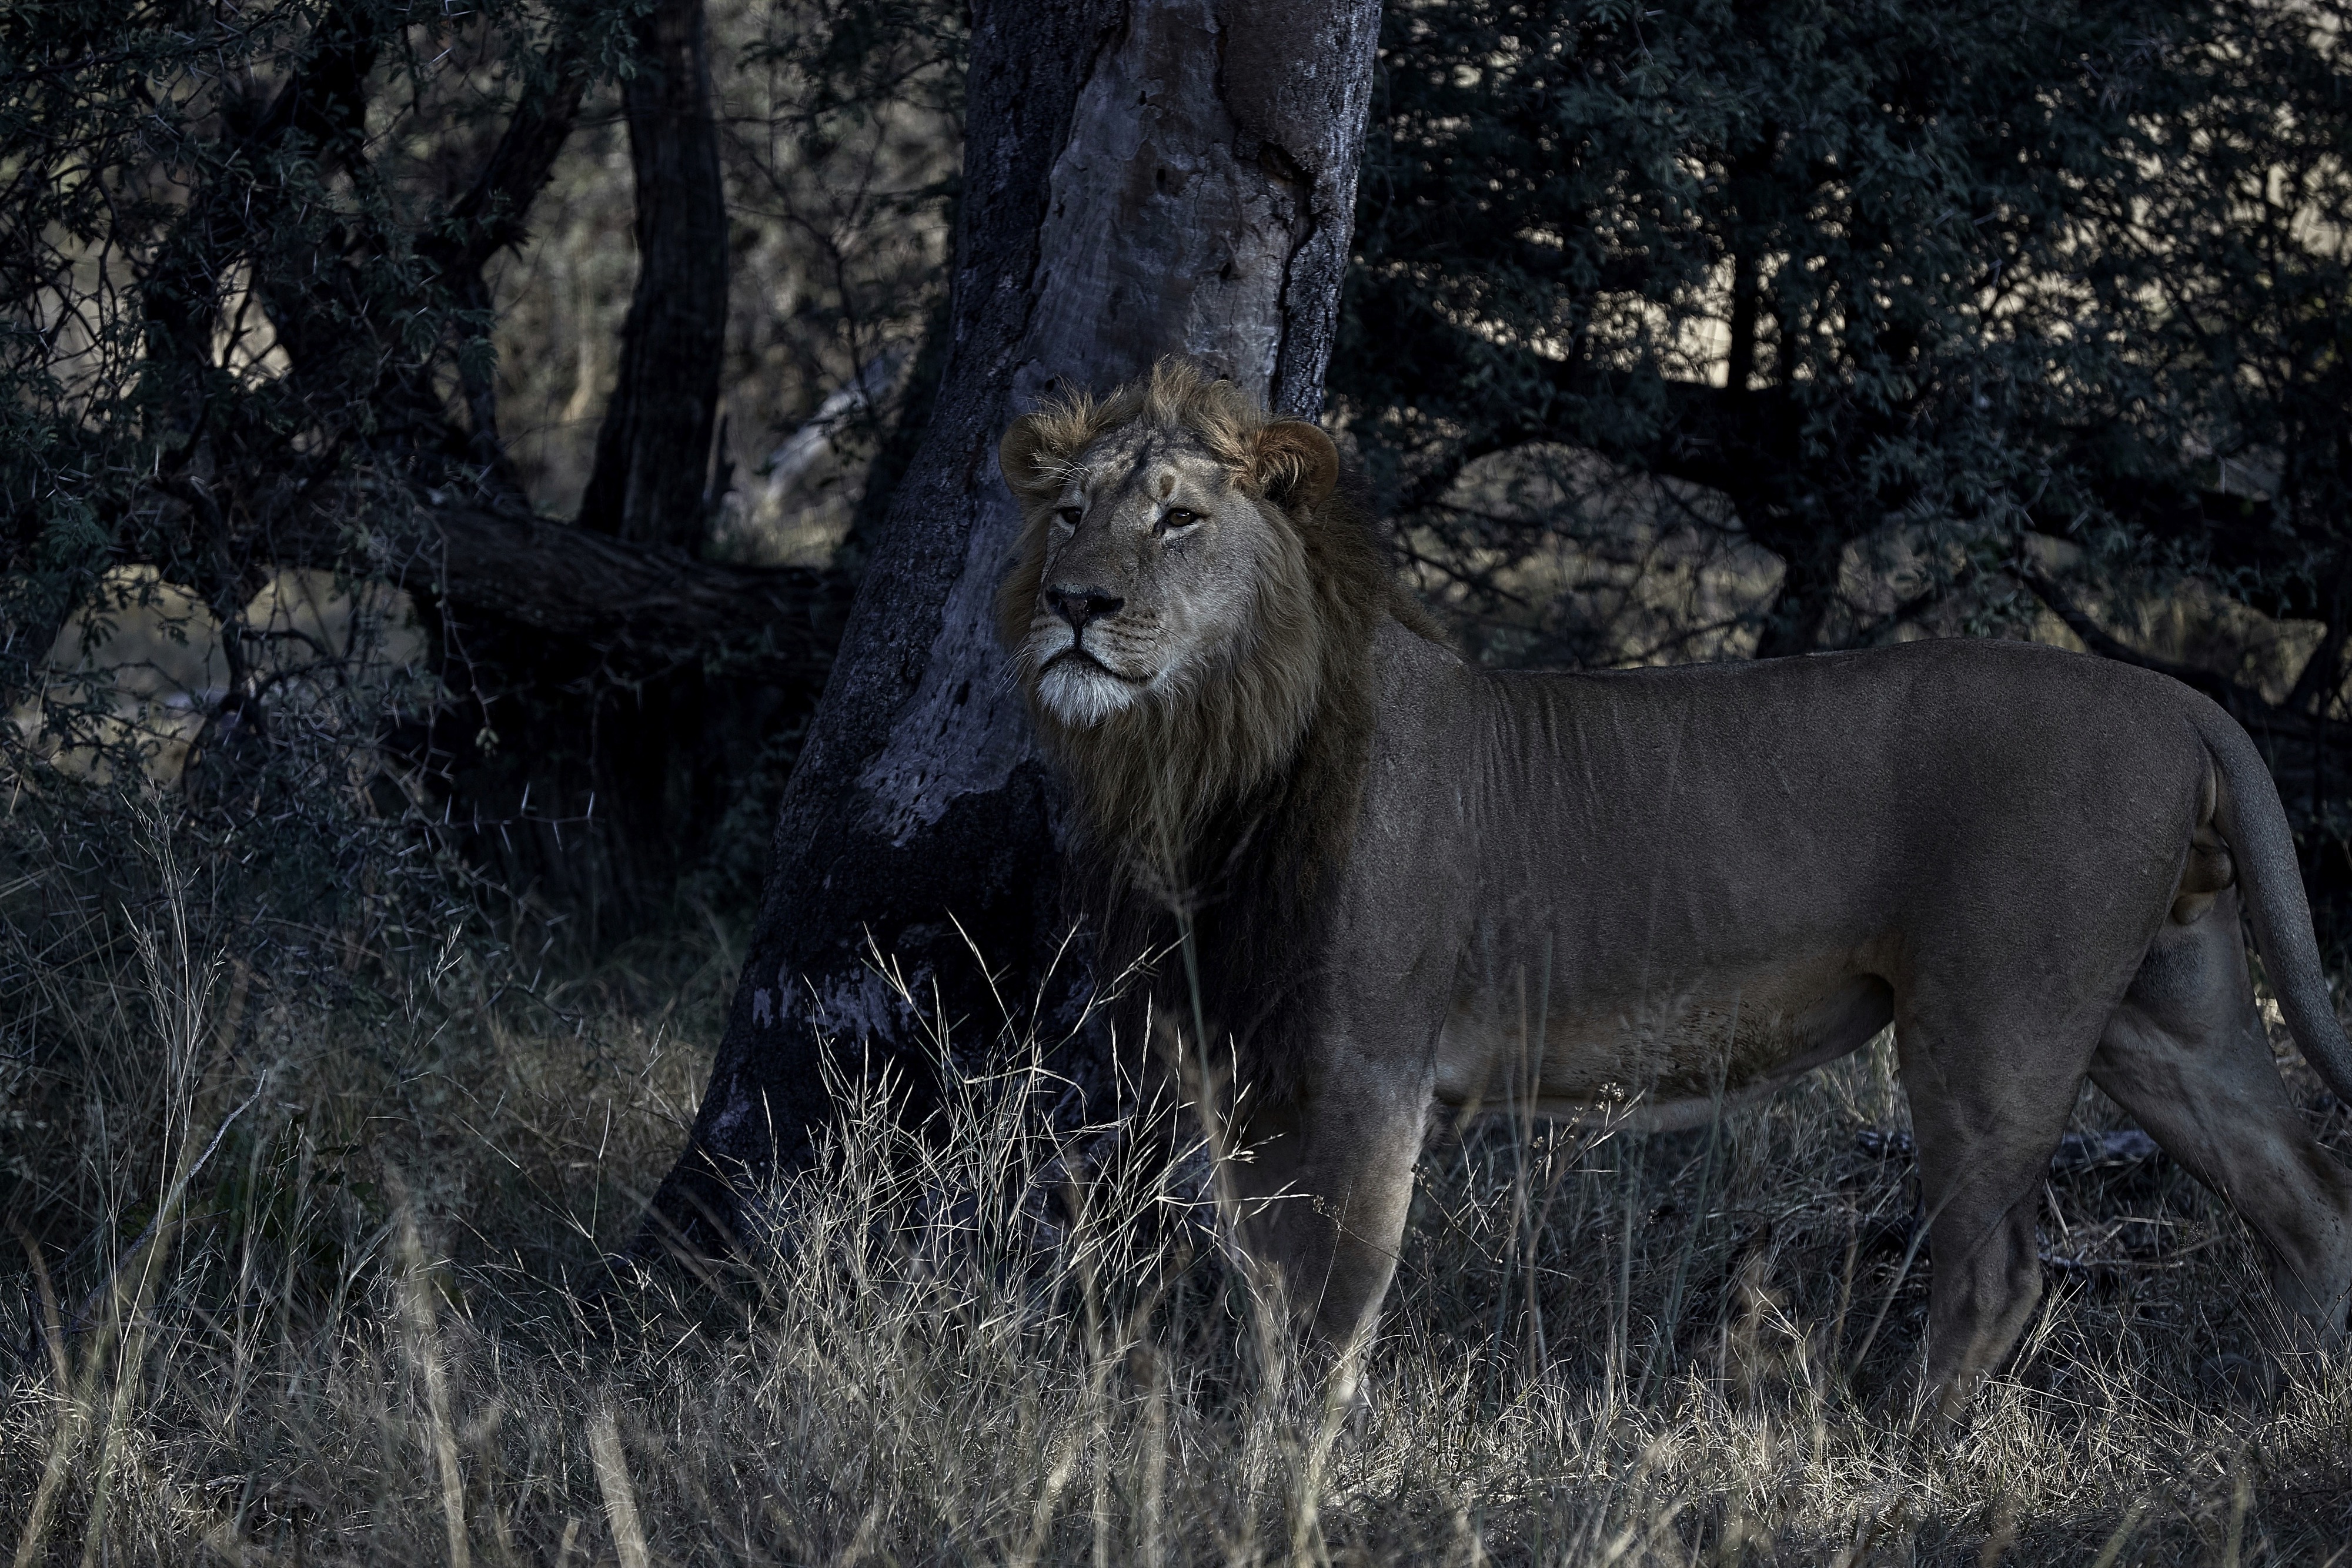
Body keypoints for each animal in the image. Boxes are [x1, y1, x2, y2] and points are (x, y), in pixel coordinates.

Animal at [996, 358, 2352, 1411]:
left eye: (1177, 520)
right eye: (1068, 513)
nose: (1075, 602)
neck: (1199, 755)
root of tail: (2177, 698)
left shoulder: (1367, 1062)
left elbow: (1335, 1292)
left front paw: (1295, 1463)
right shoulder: (1248, 1065)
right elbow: (1271, 1283)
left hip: (1991, 1025)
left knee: (1999, 1266)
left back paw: (1900, 1448)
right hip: (2166, 1014)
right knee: (2307, 1199)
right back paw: (2284, 1401)